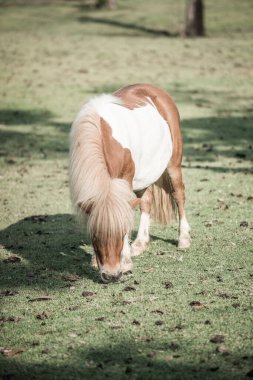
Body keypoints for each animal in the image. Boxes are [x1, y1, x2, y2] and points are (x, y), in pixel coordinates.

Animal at [68, 84, 191, 284]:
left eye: (120, 233)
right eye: (94, 235)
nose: (111, 276)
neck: (102, 134)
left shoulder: (125, 179)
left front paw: (125, 262)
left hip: (173, 165)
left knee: (179, 196)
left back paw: (184, 239)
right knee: (146, 202)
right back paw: (140, 244)